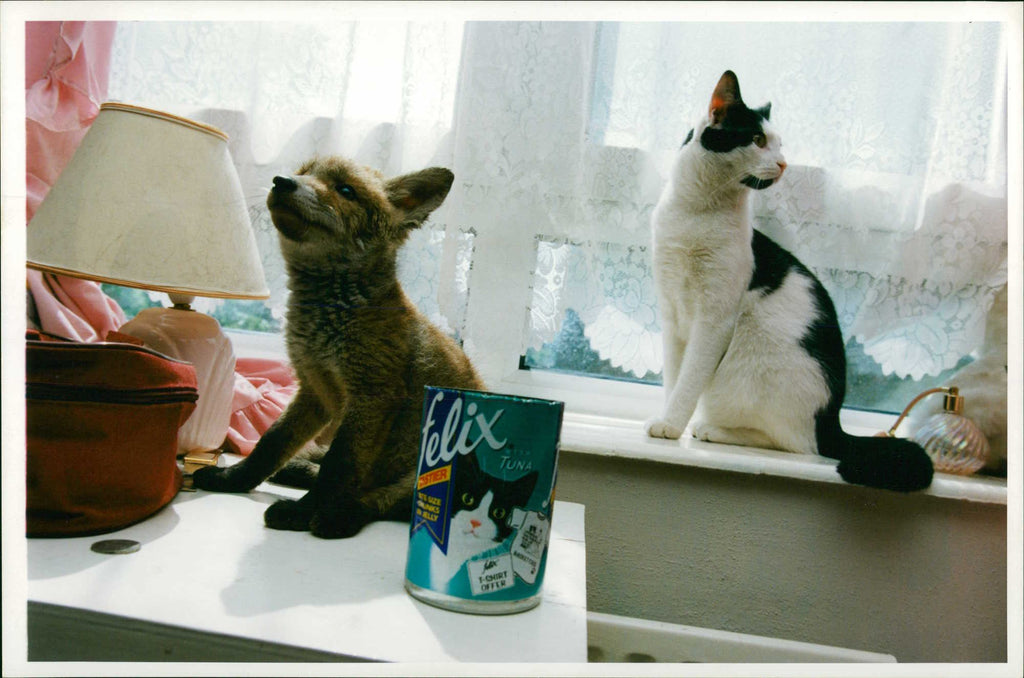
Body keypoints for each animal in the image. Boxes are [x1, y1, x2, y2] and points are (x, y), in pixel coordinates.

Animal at [192, 156, 484, 537]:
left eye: (345, 190)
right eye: (304, 172)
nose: (281, 181)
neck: (324, 326)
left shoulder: (372, 395)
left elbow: (339, 464)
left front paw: (305, 511)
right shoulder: (314, 390)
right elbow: (271, 443)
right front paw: (233, 479)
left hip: (441, 466)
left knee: (385, 500)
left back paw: (337, 515)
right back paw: (300, 471)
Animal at [644, 70, 933, 493]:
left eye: (780, 145)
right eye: (758, 139)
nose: (783, 163)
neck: (695, 213)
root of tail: (832, 421)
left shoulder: (714, 320)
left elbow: (690, 379)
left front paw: (670, 424)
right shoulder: (672, 316)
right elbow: (674, 377)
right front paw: (667, 418)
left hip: (750, 370)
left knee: (795, 443)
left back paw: (714, 430)